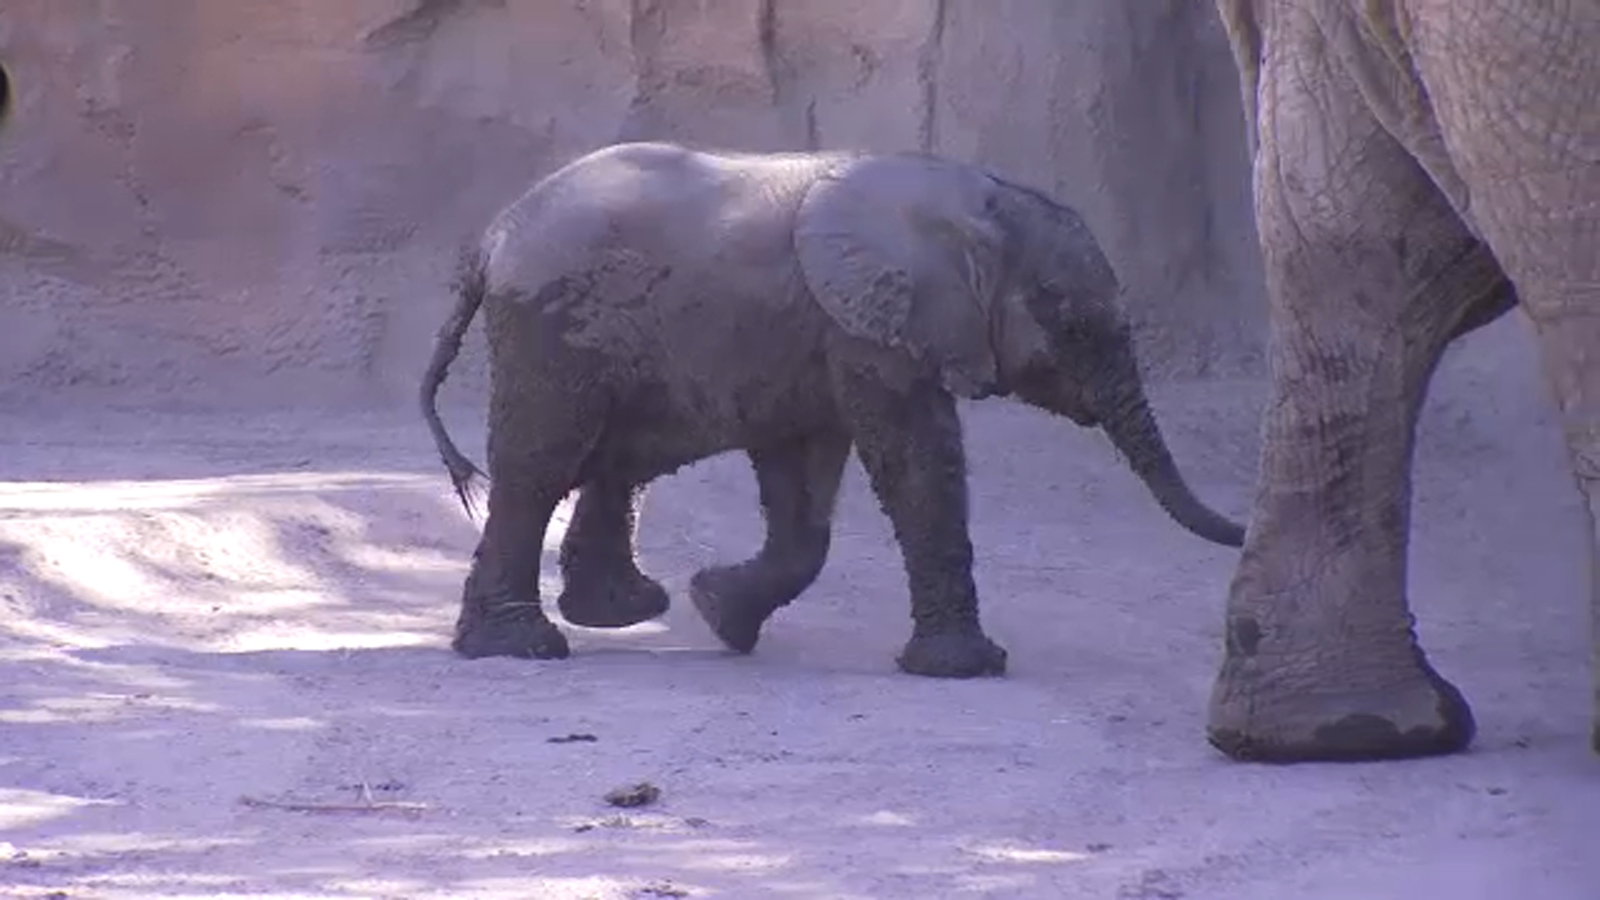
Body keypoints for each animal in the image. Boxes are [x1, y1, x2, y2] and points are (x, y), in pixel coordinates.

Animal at [419, 138, 1241, 672]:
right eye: (1073, 326)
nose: (1240, 535)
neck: (969, 200)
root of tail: (489, 241)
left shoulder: (821, 334)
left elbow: (804, 480)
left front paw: (720, 612)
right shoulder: (869, 326)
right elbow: (916, 460)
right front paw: (967, 667)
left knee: (616, 455)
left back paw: (621, 611)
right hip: (552, 327)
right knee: (542, 467)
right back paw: (524, 647)